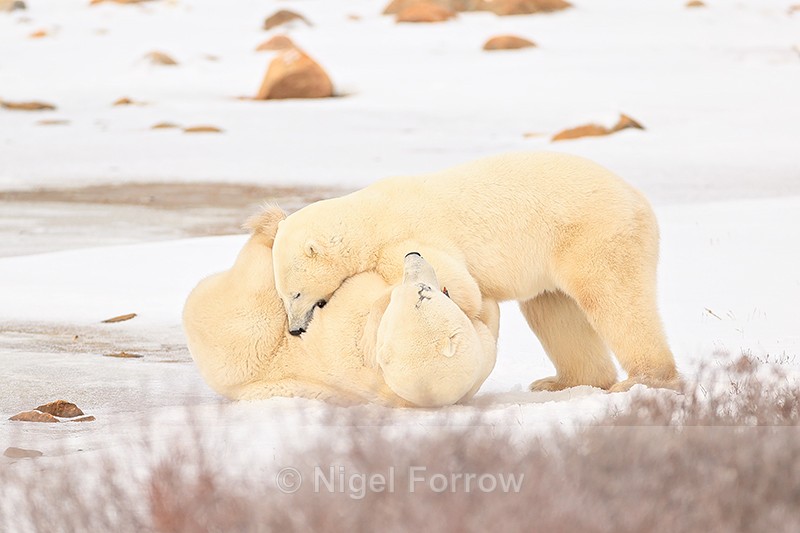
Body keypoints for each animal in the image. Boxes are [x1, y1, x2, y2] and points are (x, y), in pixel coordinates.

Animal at [270, 151, 679, 392]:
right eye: (284, 294)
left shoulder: (405, 237)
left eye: (295, 293)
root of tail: (639, 200)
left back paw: (645, 379)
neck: (370, 216)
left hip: (592, 234)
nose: (295, 328)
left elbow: (457, 282)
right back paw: (558, 382)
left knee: (613, 297)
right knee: (553, 311)